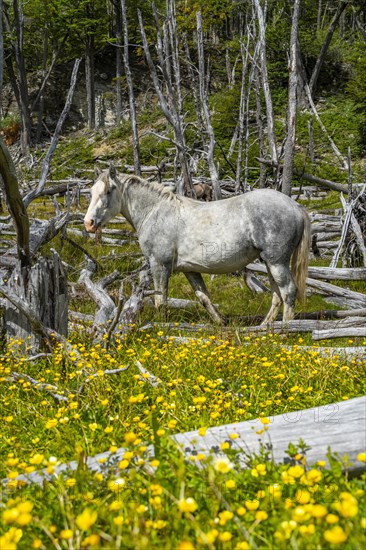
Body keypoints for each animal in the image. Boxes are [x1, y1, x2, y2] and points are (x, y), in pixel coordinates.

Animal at [84, 166, 310, 326]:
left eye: (109, 190)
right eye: (92, 191)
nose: (88, 223)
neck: (155, 212)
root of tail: (295, 206)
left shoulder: (159, 265)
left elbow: (160, 299)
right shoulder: (190, 270)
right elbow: (204, 298)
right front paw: (221, 323)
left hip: (277, 262)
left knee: (288, 292)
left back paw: (284, 330)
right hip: (270, 263)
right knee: (277, 295)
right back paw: (265, 327)